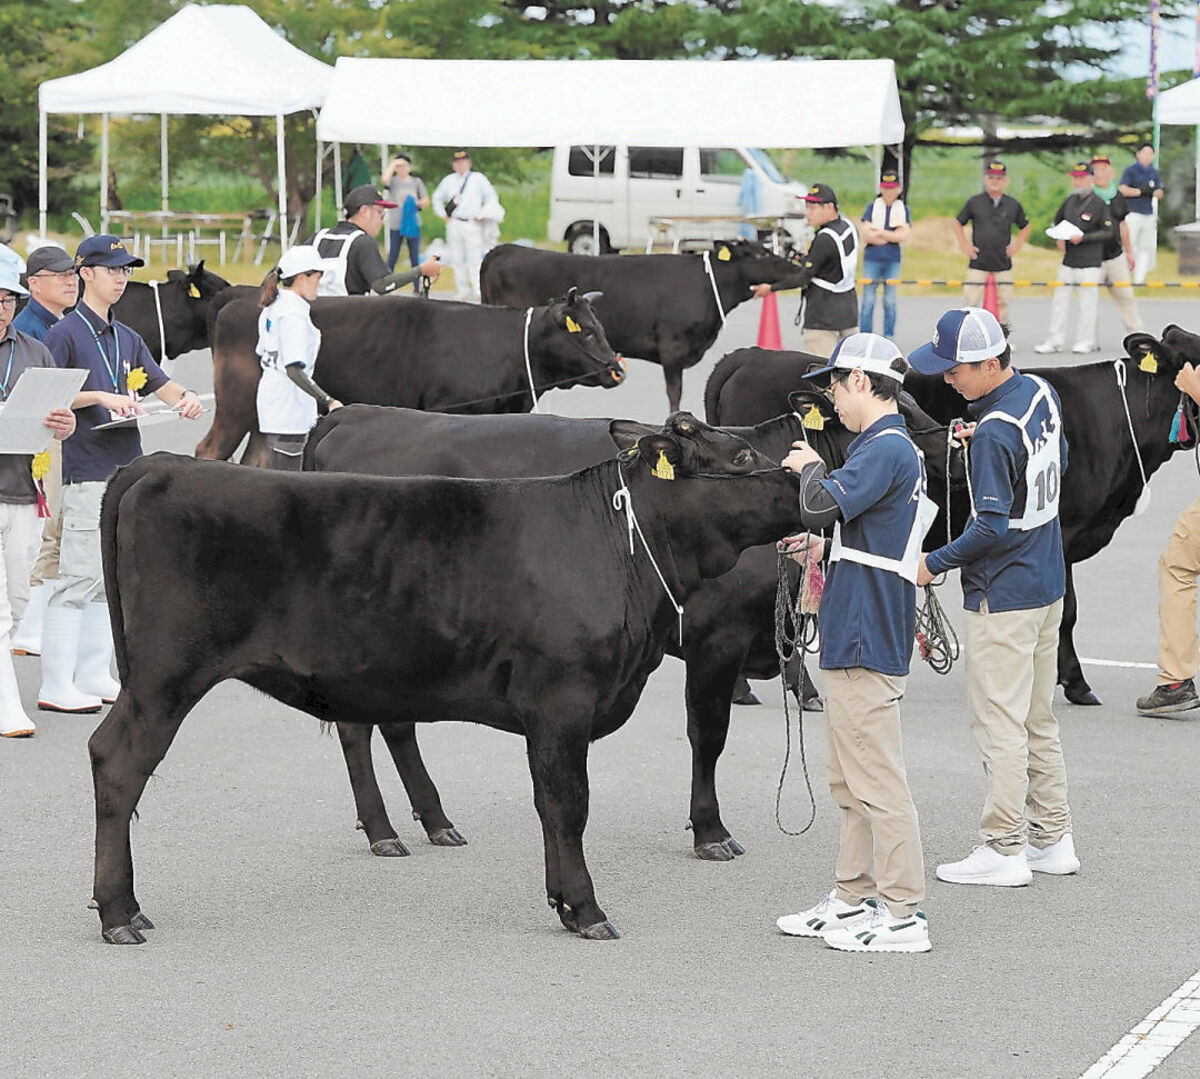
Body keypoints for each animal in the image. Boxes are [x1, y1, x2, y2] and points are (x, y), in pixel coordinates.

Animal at [93, 415, 806, 945]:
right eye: (742, 456)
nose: (804, 485)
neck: (619, 545)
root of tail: (163, 464)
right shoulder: (562, 700)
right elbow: (568, 804)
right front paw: (585, 908)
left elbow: (553, 804)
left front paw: (563, 902)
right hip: (164, 678)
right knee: (116, 762)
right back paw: (118, 912)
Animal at [194, 289, 628, 465]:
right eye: (587, 331)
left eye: (600, 326)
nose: (618, 368)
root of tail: (239, 296)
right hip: (234, 406)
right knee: (210, 451)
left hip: (260, 418)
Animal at [307, 400, 964, 864]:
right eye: (903, 413)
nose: (956, 437)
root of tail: (349, 412)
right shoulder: (715, 642)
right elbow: (709, 735)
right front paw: (710, 830)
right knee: (358, 727)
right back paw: (384, 829)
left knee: (394, 722)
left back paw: (434, 820)